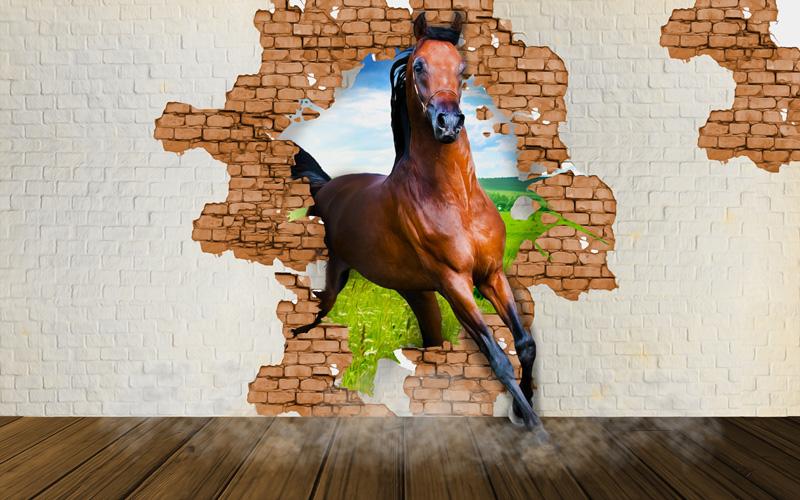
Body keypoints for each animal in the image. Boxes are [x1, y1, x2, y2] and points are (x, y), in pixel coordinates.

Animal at [291, 12, 546, 436]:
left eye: (462, 68)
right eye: (419, 66)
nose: (449, 123)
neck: (456, 200)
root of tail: (325, 186)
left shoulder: (491, 274)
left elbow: (525, 344)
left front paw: (523, 408)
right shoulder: (455, 284)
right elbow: (497, 358)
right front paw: (533, 425)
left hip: (418, 294)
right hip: (337, 279)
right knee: (317, 313)